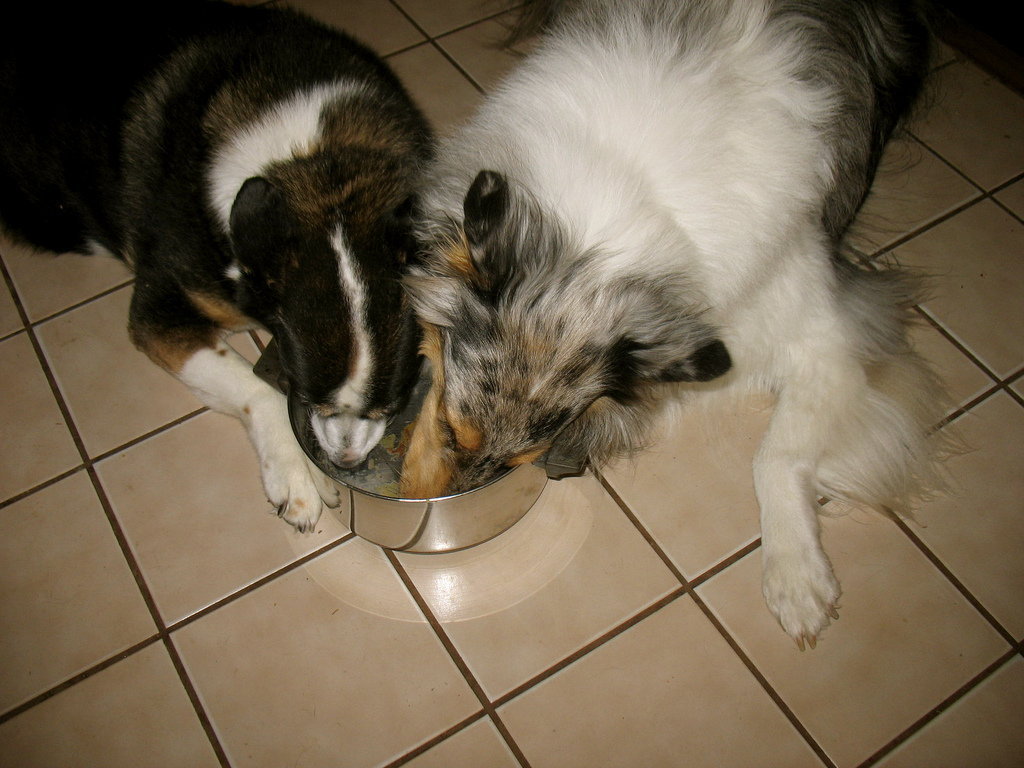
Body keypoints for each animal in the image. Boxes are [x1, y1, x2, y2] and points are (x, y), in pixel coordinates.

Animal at [0, 0, 432, 532]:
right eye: (308, 400)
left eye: (393, 405)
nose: (346, 463)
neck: (318, 165)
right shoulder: (161, 312)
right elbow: (257, 387)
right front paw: (298, 474)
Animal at [401, 0, 950, 651]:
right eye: (450, 428)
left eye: (518, 463)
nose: (422, 504)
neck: (617, 212)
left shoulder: (832, 333)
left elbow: (775, 454)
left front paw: (796, 575)